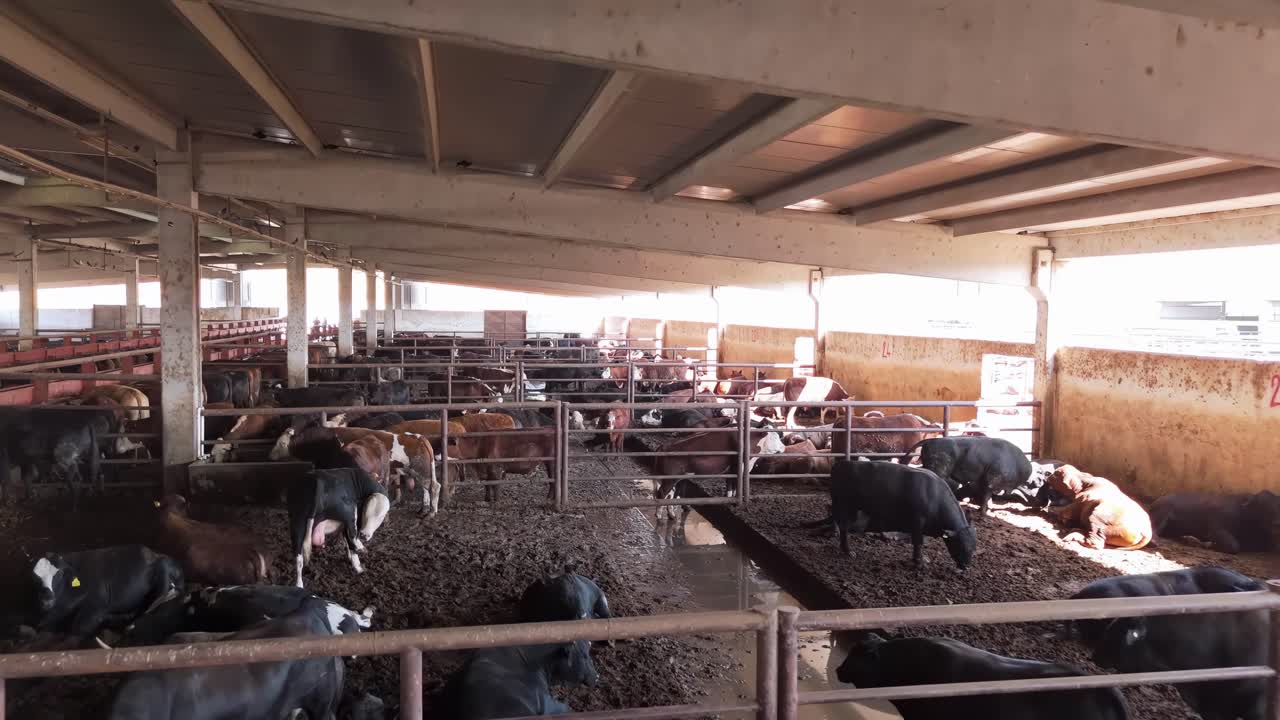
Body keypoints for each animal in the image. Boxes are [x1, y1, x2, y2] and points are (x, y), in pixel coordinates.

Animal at [30, 545, 183, 641]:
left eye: (59, 574)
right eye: (35, 577)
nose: (47, 599)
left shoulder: (96, 606)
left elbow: (77, 632)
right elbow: (42, 628)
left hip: (163, 571)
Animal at [829, 460, 976, 569]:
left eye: (974, 547)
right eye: (960, 545)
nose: (966, 566)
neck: (935, 496)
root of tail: (841, 464)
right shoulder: (917, 522)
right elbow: (918, 542)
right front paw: (918, 562)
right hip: (845, 505)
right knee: (843, 526)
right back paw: (847, 550)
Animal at [1149, 491, 1280, 554]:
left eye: (1277, 506)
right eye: (1262, 506)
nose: (1276, 523)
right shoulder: (1216, 529)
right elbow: (1234, 546)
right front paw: (1207, 544)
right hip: (1163, 514)